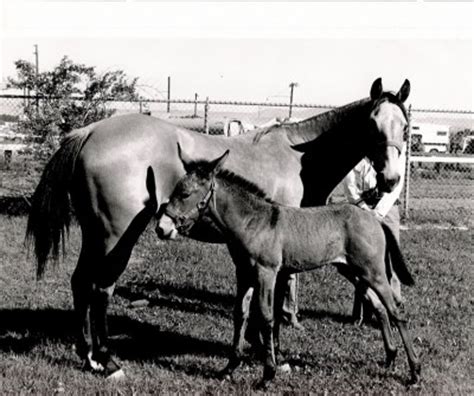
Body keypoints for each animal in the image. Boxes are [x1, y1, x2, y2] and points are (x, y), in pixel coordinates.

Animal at [161, 148, 420, 386]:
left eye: (185, 193)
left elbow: (266, 317)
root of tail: (373, 218)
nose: (161, 228)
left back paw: (415, 371)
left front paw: (268, 374)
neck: (253, 222)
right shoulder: (243, 274)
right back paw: (391, 357)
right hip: (354, 272)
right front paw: (229, 368)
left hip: (373, 272)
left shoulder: (266, 273)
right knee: (380, 307)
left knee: (397, 312)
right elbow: (240, 314)